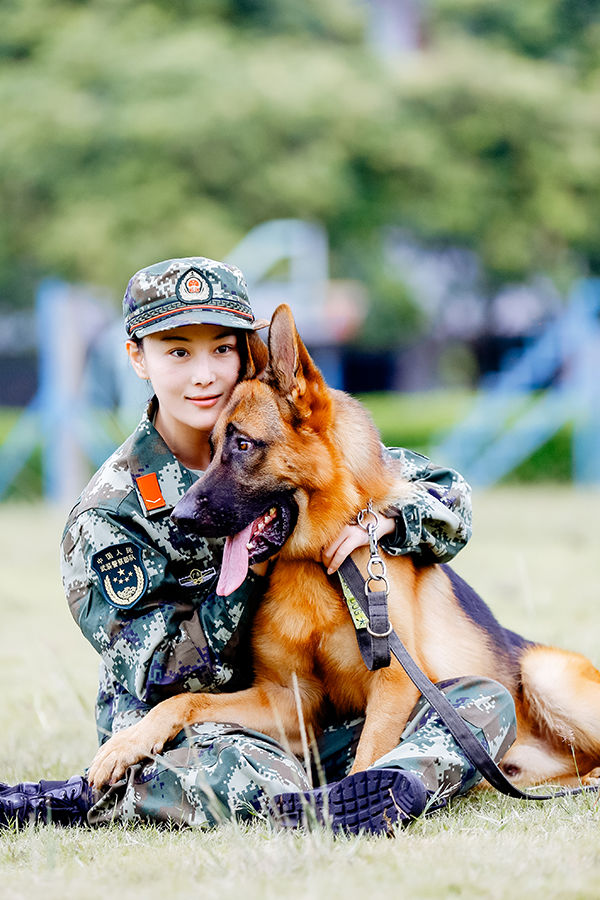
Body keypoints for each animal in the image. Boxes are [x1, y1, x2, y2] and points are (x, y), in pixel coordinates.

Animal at [89, 306, 600, 792]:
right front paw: (127, 743)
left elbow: (369, 756)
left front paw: (358, 795)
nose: (178, 517)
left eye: (243, 445)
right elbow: (184, 697)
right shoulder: (286, 701)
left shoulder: (394, 684)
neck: (315, 563)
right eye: (212, 446)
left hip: (543, 674)